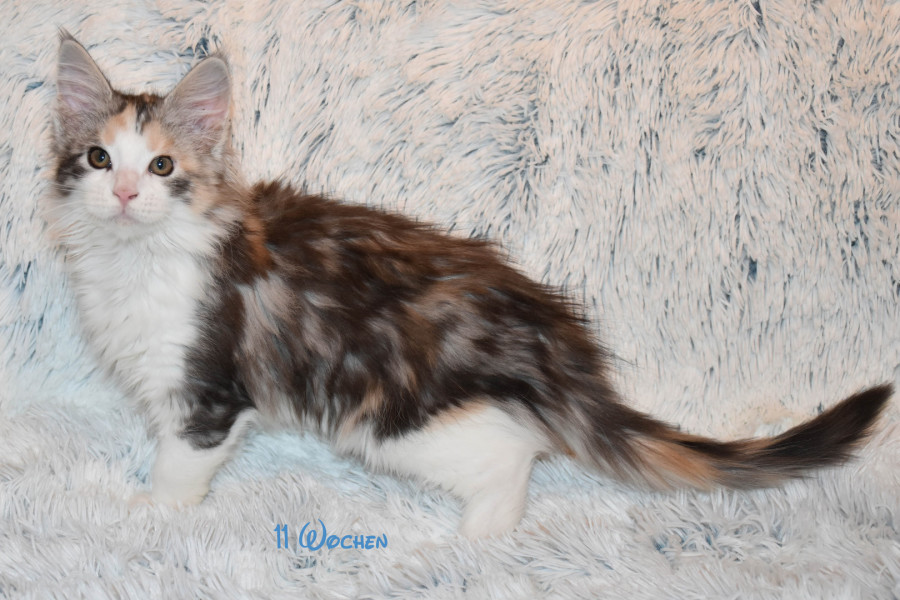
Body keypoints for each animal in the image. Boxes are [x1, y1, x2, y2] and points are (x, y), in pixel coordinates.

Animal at [49, 32, 892, 539]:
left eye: (162, 166)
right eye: (98, 159)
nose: (123, 192)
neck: (138, 257)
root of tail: (551, 334)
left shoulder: (207, 387)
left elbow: (180, 463)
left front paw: (151, 512)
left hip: (396, 415)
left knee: (510, 456)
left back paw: (481, 537)